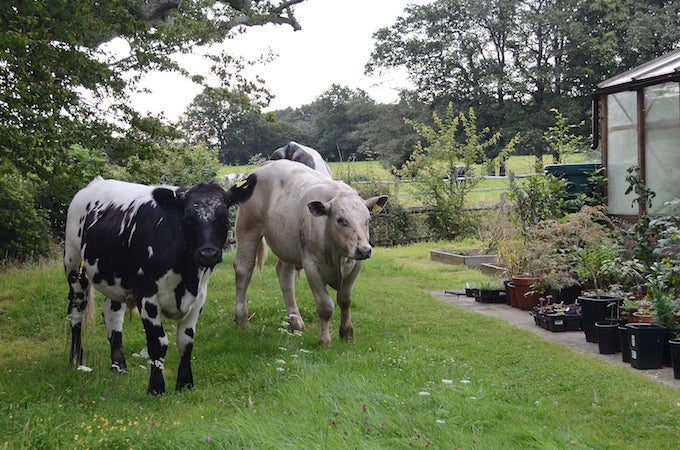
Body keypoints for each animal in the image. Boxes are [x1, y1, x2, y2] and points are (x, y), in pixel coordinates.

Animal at [64, 176, 255, 394]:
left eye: (223, 217)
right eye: (188, 218)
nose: (208, 254)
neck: (186, 276)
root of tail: (95, 183)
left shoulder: (199, 296)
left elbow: (186, 340)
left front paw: (185, 384)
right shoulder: (147, 296)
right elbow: (158, 343)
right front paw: (156, 387)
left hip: (115, 279)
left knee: (112, 313)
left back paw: (119, 365)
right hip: (74, 265)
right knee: (76, 313)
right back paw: (76, 361)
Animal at [232, 161, 388, 344]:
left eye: (367, 220)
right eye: (340, 219)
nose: (364, 249)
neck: (337, 254)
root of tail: (266, 164)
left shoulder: (356, 264)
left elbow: (345, 299)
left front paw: (347, 333)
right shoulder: (312, 265)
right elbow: (325, 306)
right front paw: (325, 340)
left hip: (287, 244)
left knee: (284, 275)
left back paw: (295, 323)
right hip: (247, 229)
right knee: (244, 269)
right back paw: (241, 319)